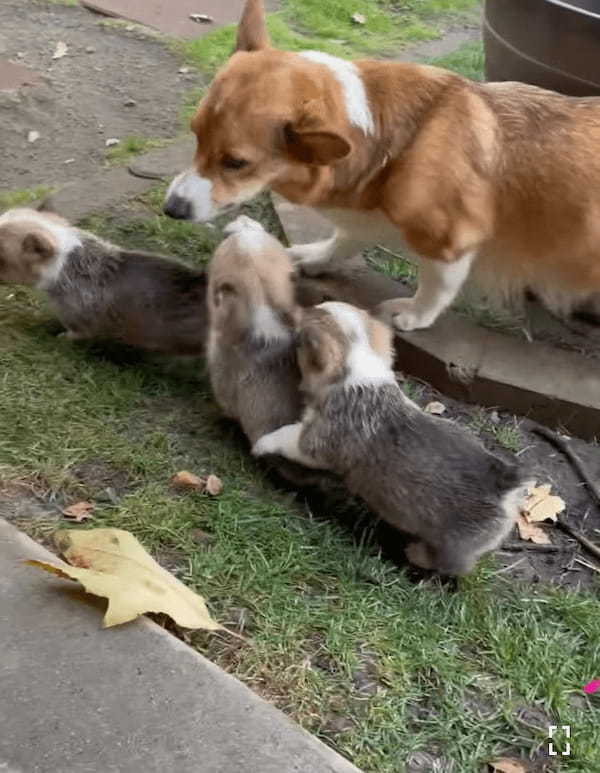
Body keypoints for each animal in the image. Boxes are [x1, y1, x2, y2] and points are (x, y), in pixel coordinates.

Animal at [162, 0, 600, 328]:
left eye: (236, 163)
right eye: (195, 134)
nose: (171, 209)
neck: (391, 142)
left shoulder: (452, 240)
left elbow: (436, 287)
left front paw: (413, 315)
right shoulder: (366, 216)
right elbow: (344, 240)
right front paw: (313, 256)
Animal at [251, 300, 528, 572]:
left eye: (300, 340)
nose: (294, 313)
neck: (359, 370)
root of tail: (506, 486)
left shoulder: (314, 442)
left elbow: (284, 437)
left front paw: (262, 444)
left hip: (453, 547)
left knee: (450, 564)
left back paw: (415, 553)